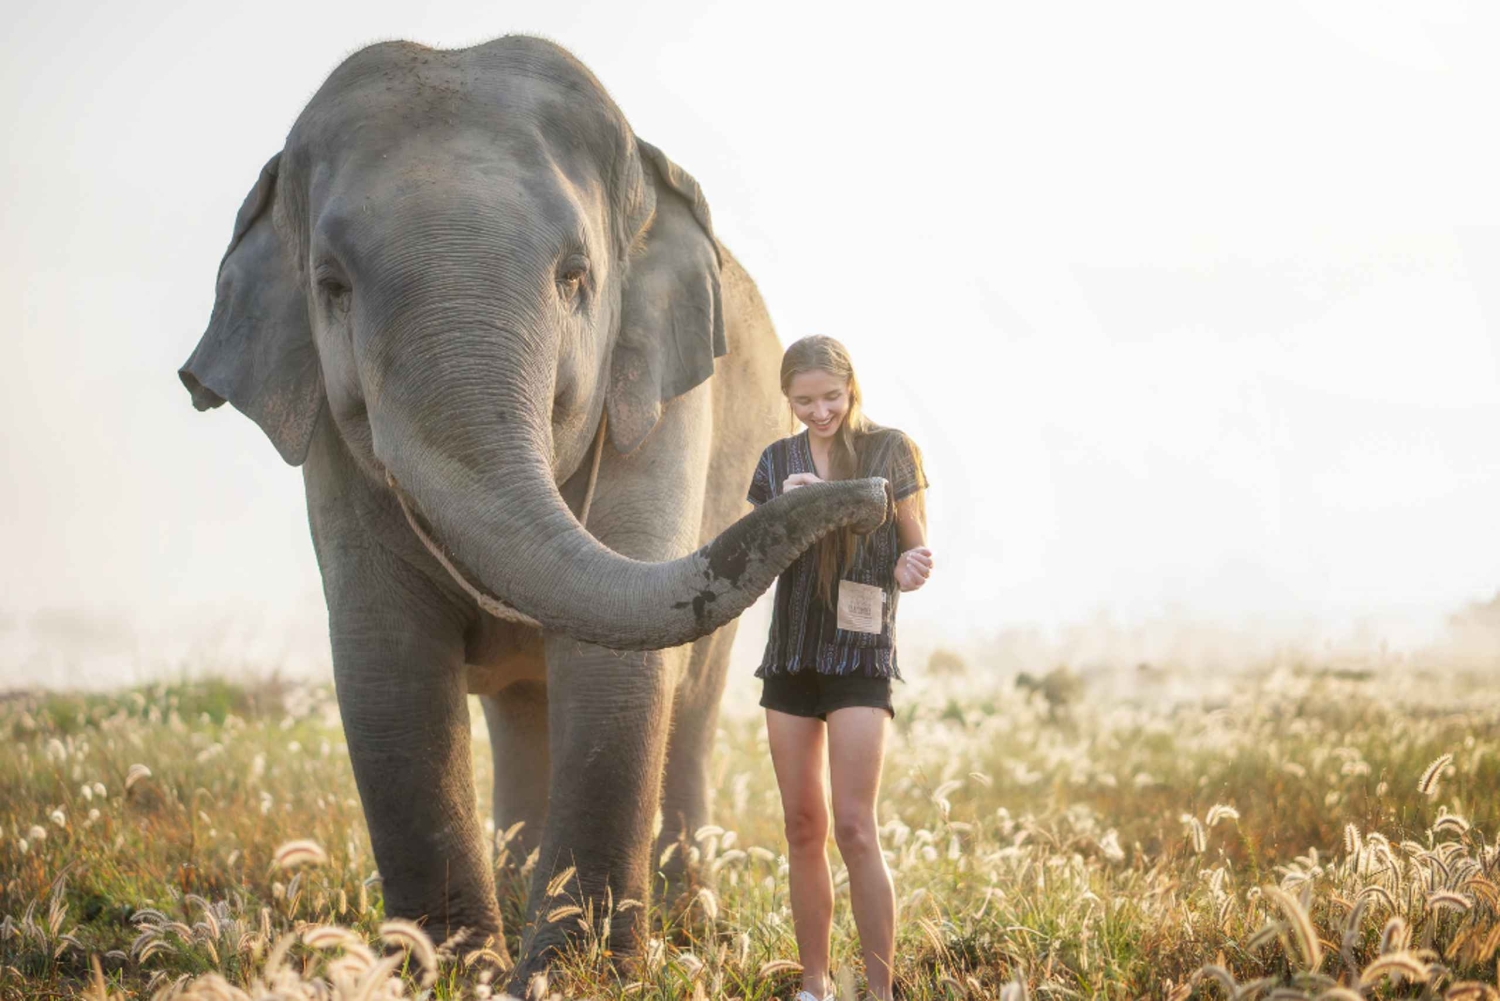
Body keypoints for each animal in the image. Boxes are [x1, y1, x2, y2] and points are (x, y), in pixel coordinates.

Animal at [177, 34, 890, 990]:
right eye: (330, 285)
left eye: (575, 277)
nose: (873, 496)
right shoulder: (330, 434)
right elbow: (386, 662)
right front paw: (449, 972)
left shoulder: (661, 397)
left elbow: (615, 668)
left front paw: (577, 975)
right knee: (519, 710)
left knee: (690, 704)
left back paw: (682, 921)